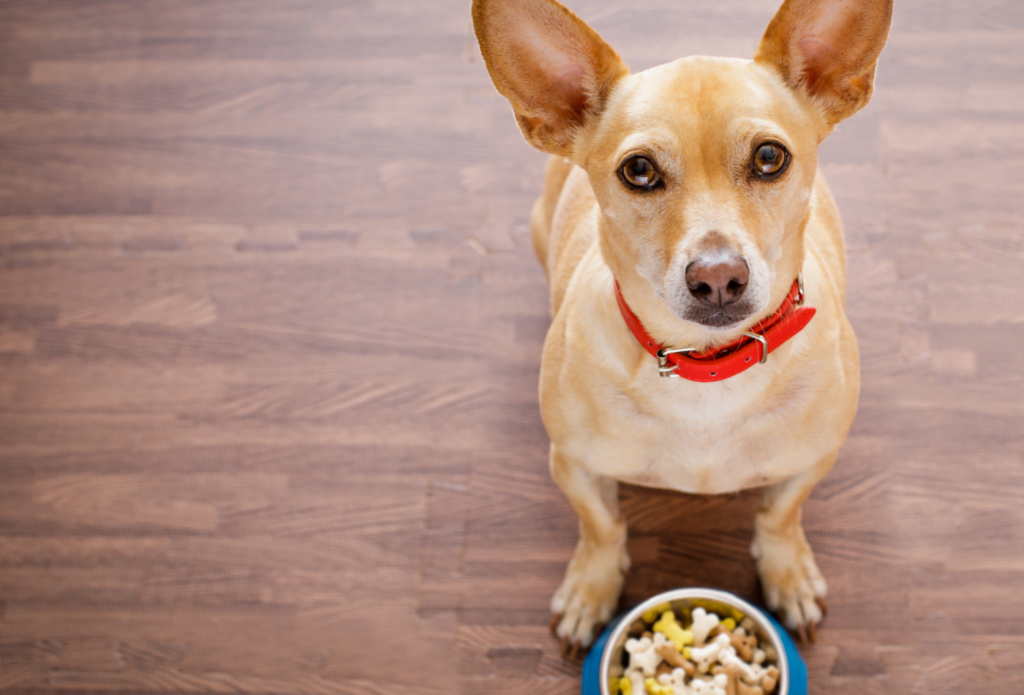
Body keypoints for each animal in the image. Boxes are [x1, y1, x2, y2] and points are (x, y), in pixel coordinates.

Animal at [468, 0, 888, 650]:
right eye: (638, 170)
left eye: (770, 158)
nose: (718, 277)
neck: (707, 367)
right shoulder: (574, 466)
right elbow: (602, 528)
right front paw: (591, 589)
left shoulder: (813, 461)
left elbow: (778, 516)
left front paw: (787, 573)